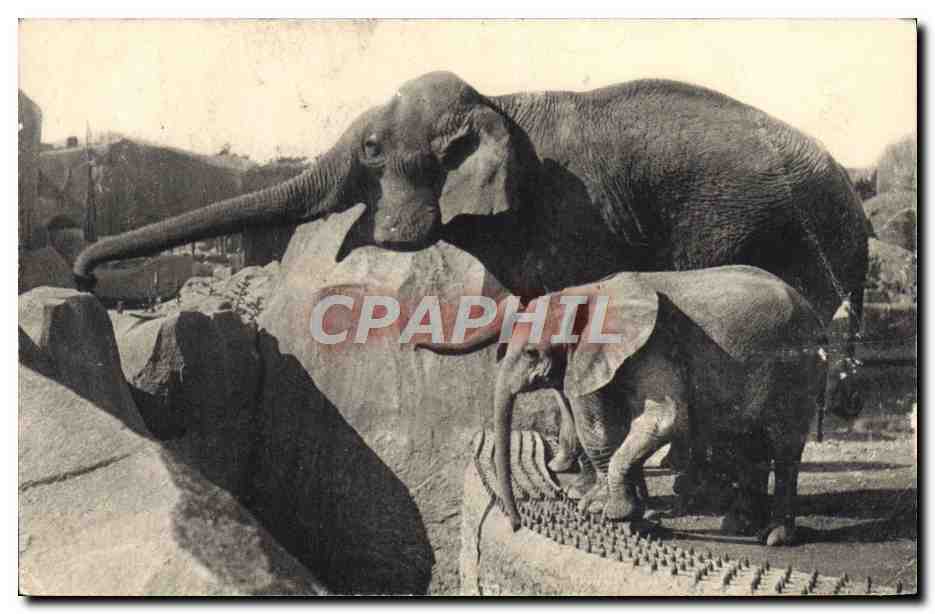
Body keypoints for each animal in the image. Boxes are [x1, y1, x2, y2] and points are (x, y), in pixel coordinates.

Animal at [416, 265, 828, 546]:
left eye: (532, 352)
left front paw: (613, 512)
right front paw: (608, 507)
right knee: (744, 442)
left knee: (783, 447)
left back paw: (774, 536)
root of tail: (812, 308)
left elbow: (662, 419)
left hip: (797, 368)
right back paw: (738, 526)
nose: (515, 526)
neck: (586, 293)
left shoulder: (654, 343)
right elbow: (604, 425)